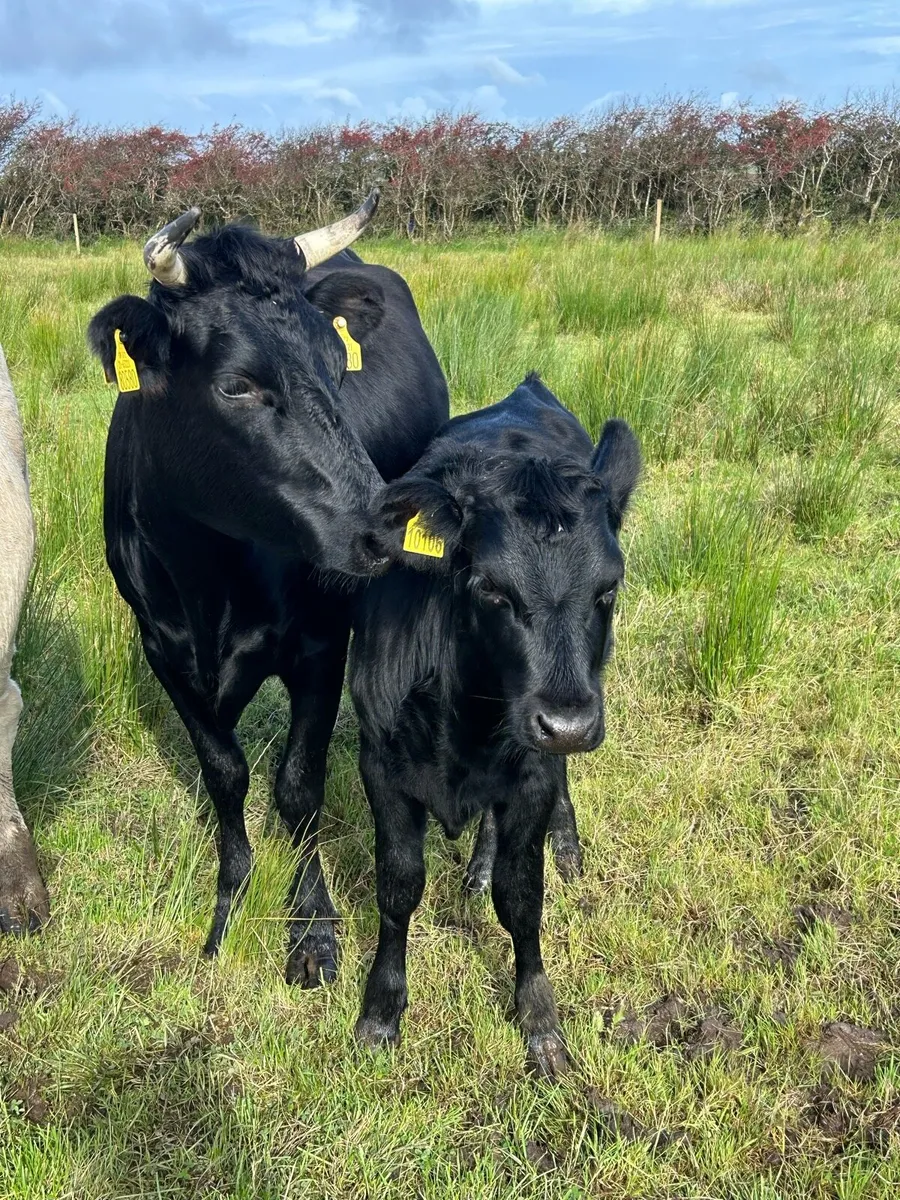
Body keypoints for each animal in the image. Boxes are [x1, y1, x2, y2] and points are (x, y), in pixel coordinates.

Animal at [87, 193, 450, 984]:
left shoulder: (321, 644)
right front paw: (229, 902)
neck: (210, 580)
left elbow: (298, 784)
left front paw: (312, 927)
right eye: (236, 384)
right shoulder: (163, 649)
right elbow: (224, 774)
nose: (381, 529)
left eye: (336, 366)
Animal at [348, 375, 641, 1077]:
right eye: (490, 589)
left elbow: (522, 896)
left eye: (608, 589)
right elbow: (398, 885)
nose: (568, 722)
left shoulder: (530, 773)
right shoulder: (380, 764)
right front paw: (381, 1010)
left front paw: (539, 1019)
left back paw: (564, 842)